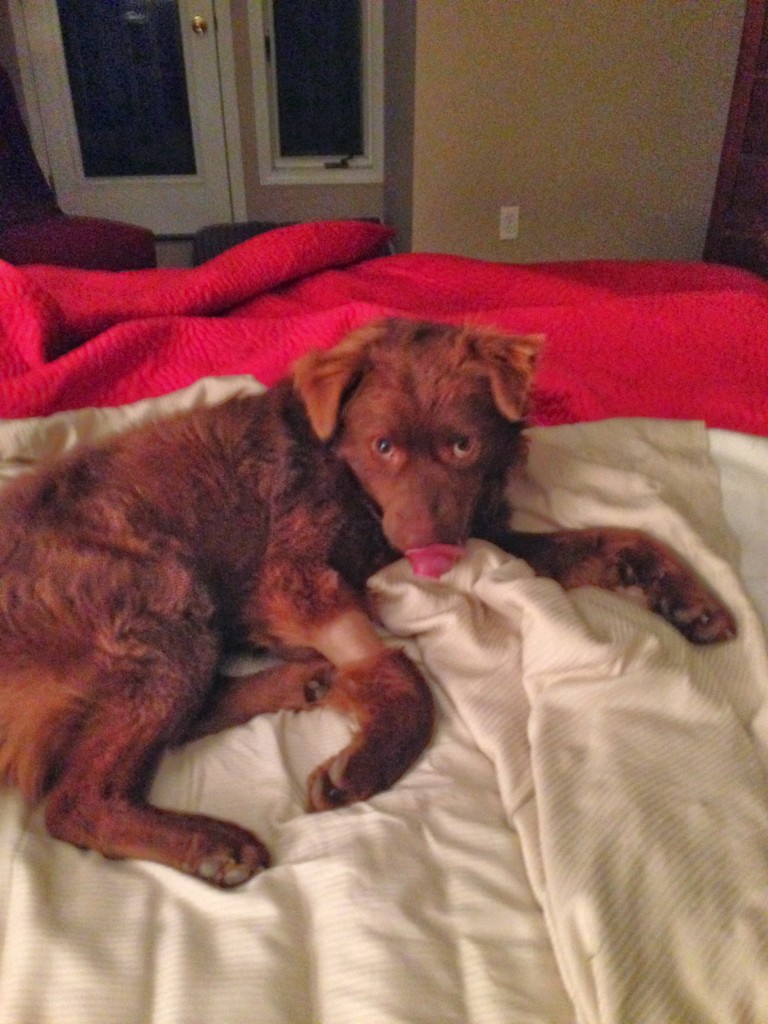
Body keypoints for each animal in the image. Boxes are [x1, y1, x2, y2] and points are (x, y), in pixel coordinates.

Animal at [0, 321, 737, 888]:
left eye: (462, 445)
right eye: (384, 446)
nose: (423, 543)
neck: (347, 477)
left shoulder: (478, 531)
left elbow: (615, 537)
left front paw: (691, 600)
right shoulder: (292, 577)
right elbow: (402, 673)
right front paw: (371, 758)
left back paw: (302, 680)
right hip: (160, 595)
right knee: (76, 795)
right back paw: (211, 843)